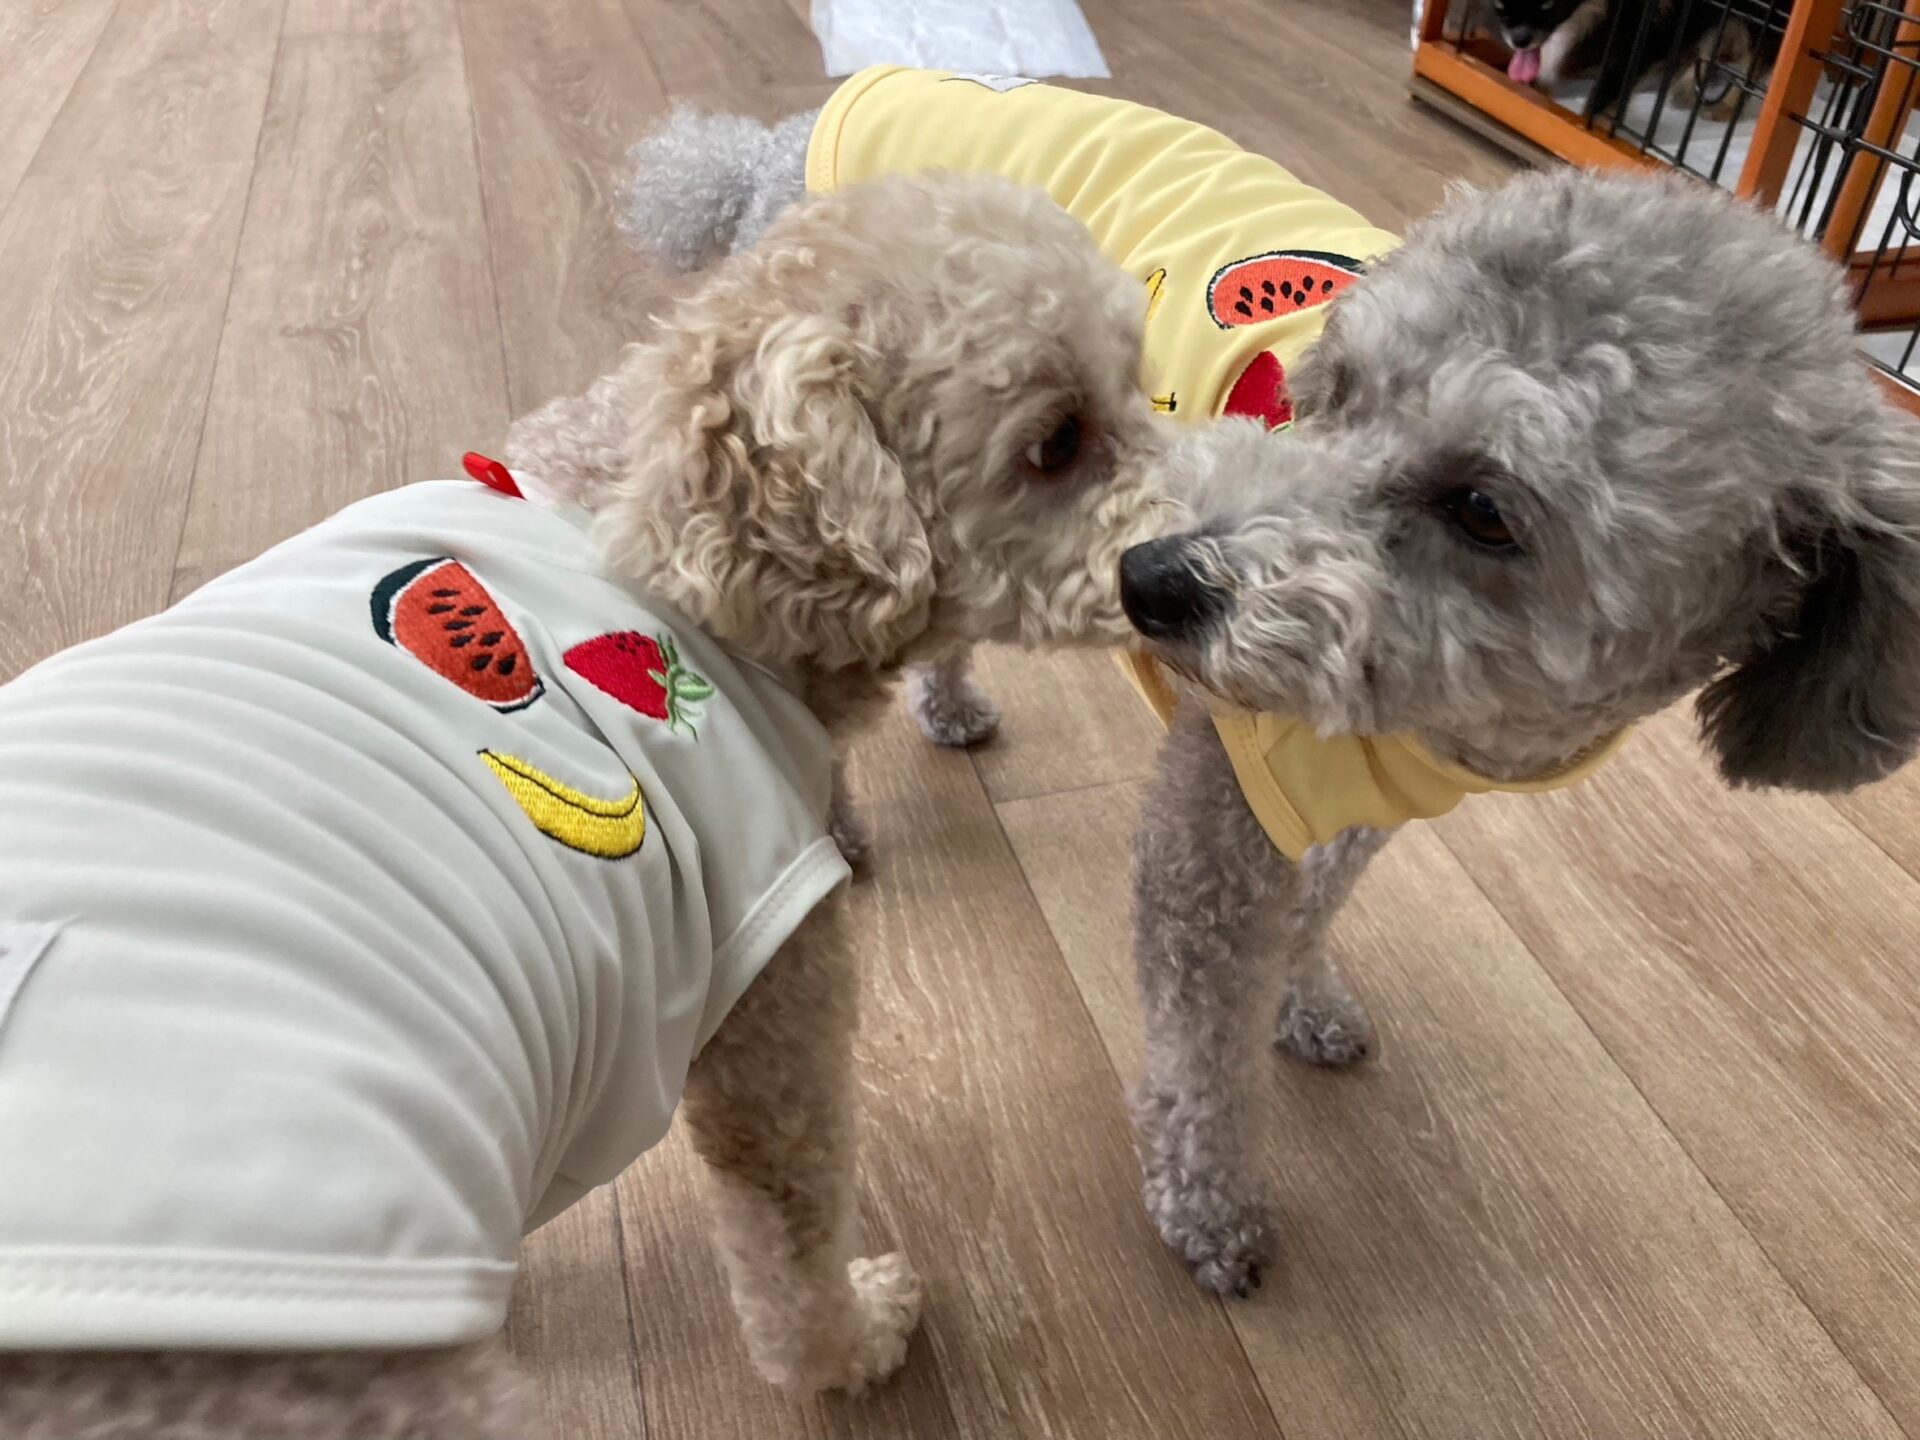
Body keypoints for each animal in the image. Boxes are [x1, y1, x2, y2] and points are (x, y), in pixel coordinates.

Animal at [0, 171, 1183, 1435]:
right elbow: (791, 1255)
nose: (1185, 565)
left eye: (1141, 385)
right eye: (1056, 444)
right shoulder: (772, 1009)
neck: (642, 521)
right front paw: (861, 1336)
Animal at [623, 83, 1920, 1299]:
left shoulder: (1354, 806)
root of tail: (777, 138)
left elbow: (1317, 909)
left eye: (1485, 510)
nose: (1153, 580)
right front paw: (1211, 1211)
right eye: (1331, 387)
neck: (1451, 727)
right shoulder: (1220, 830)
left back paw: (948, 706)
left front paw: (1307, 1001)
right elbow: (1203, 1057)